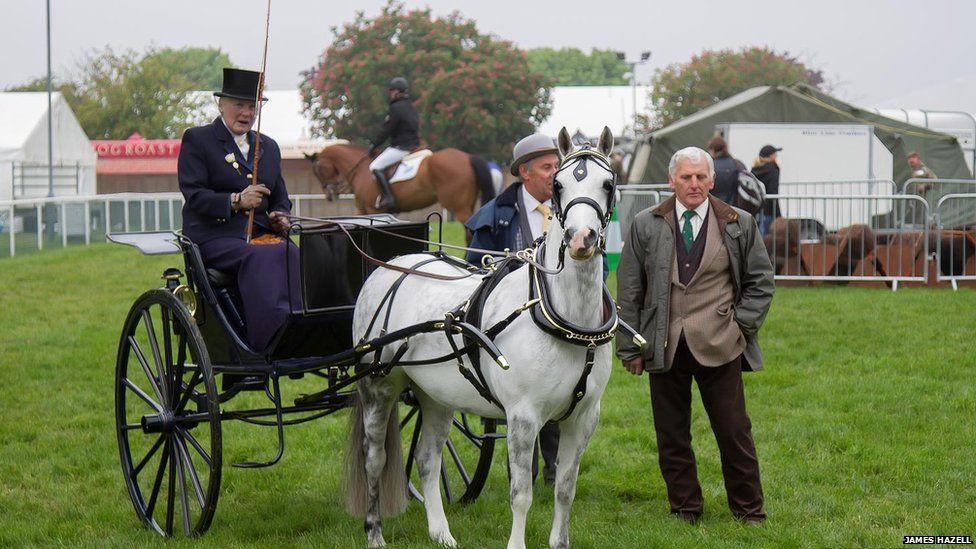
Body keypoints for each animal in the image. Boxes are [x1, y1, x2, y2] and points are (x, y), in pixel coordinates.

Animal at [304, 144, 496, 226]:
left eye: (317, 170)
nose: (330, 194)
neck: (361, 170)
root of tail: (468, 157)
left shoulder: (370, 210)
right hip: (468, 203)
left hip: (459, 206)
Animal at [346, 126, 612, 544]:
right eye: (558, 184)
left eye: (608, 184)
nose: (580, 238)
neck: (564, 319)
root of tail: (394, 265)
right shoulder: (523, 416)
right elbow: (521, 493)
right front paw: (516, 544)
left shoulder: (584, 417)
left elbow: (565, 489)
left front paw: (559, 542)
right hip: (379, 385)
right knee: (374, 458)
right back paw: (374, 533)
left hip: (435, 395)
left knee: (426, 458)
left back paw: (441, 533)